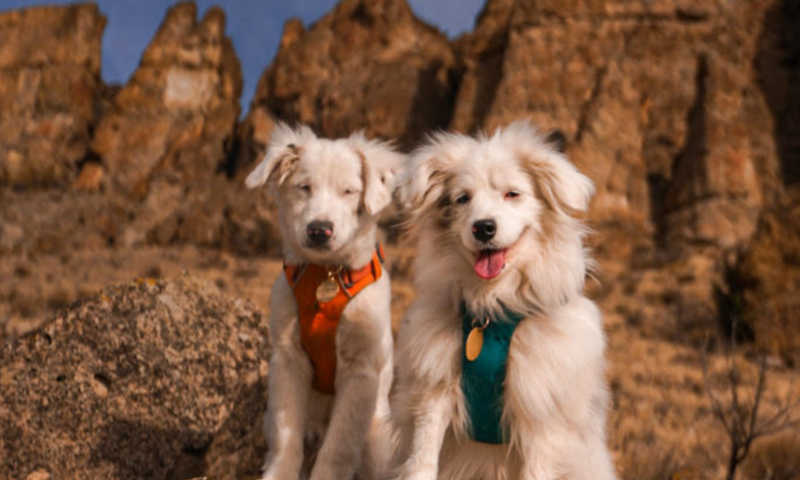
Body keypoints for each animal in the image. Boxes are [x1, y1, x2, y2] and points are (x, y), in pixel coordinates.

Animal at [247, 124, 404, 480]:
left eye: (348, 191)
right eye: (304, 187)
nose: (319, 230)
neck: (326, 275)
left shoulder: (361, 370)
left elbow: (340, 446)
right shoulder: (288, 358)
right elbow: (286, 432)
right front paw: (279, 473)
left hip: (378, 436)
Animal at [390, 122, 616, 480]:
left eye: (513, 194)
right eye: (462, 198)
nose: (483, 228)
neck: (492, 311)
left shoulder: (542, 419)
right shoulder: (432, 394)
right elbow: (422, 459)